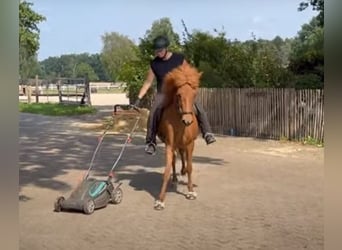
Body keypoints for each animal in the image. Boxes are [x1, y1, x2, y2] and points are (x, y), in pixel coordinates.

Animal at [154, 63, 202, 210]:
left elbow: (190, 167)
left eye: (194, 94)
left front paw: (191, 191)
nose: (187, 120)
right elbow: (167, 169)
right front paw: (160, 200)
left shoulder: (190, 144)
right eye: (179, 95)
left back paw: (183, 171)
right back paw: (175, 178)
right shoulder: (169, 145)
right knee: (175, 159)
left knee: (183, 157)